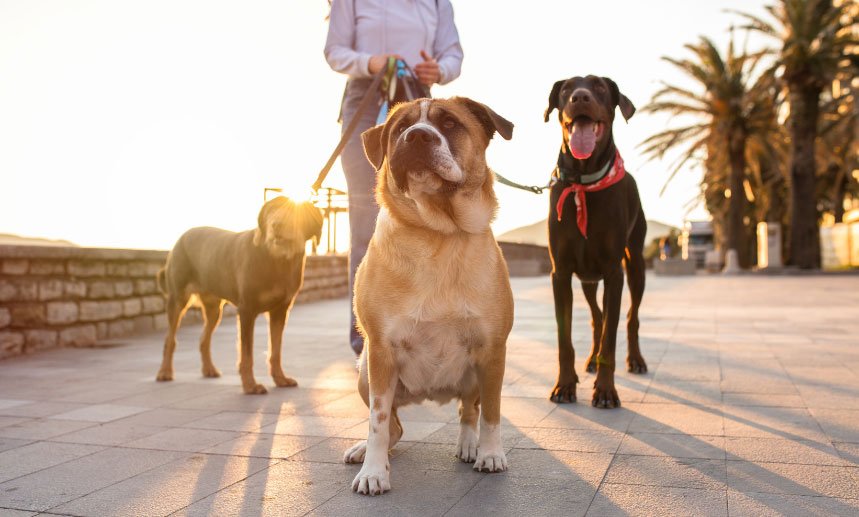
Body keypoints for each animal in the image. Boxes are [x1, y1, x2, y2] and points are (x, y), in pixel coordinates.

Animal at [155, 196, 322, 394]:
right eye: (272, 210)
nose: (277, 224)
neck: (277, 259)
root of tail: (181, 237)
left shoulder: (280, 311)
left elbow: (275, 350)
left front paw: (280, 379)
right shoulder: (247, 311)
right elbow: (246, 354)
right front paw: (250, 385)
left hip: (214, 309)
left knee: (204, 339)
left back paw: (209, 369)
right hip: (178, 299)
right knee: (170, 339)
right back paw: (164, 372)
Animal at [344, 98, 516, 496]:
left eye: (450, 123)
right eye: (399, 129)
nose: (417, 136)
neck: (438, 233)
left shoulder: (492, 350)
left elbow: (492, 412)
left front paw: (490, 453)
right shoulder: (380, 352)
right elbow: (377, 421)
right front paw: (374, 471)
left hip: (474, 373)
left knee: (468, 410)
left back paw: (469, 445)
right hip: (364, 373)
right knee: (394, 427)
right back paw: (364, 450)